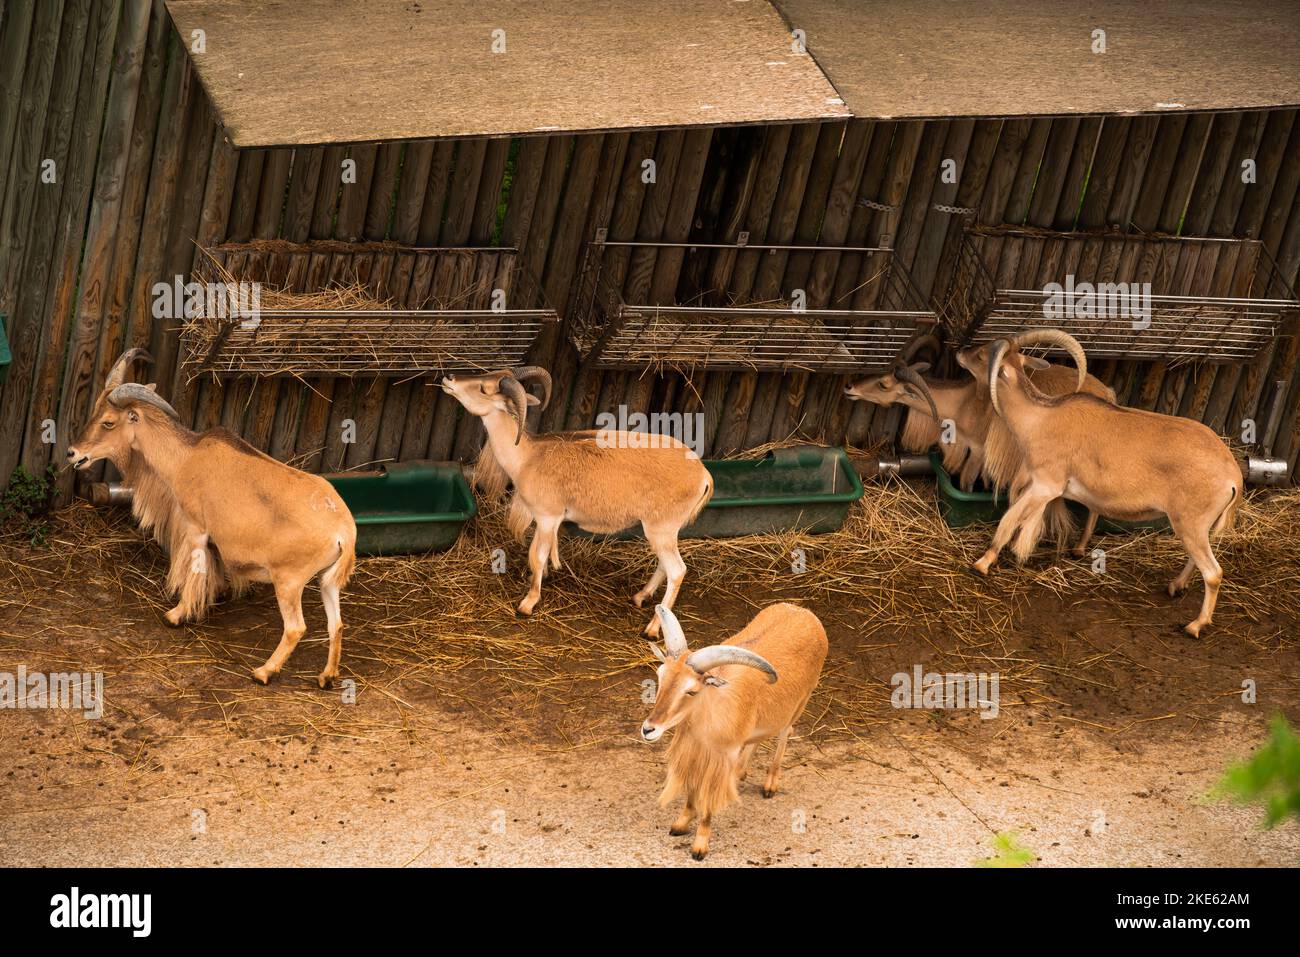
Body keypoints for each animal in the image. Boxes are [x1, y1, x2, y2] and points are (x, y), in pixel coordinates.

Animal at [67, 357, 357, 686]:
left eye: (108, 422)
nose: (73, 453)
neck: (185, 457)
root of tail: (343, 533)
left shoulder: (195, 528)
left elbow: (194, 571)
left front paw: (177, 615)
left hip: (289, 581)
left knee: (296, 627)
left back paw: (264, 672)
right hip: (327, 581)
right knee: (337, 624)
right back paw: (327, 676)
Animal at [440, 367, 713, 638]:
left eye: (484, 388)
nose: (449, 378)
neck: (529, 457)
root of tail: (703, 475)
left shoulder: (547, 517)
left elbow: (538, 555)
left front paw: (528, 603)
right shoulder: (546, 520)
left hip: (661, 529)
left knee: (677, 570)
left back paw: (653, 628)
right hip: (664, 532)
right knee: (664, 566)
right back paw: (640, 597)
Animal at [640, 603, 827, 860]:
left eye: (691, 691)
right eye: (660, 676)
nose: (649, 729)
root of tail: (804, 612)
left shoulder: (720, 759)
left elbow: (709, 800)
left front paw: (699, 847)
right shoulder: (696, 754)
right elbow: (692, 792)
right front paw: (680, 824)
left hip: (802, 700)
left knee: (785, 732)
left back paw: (770, 784)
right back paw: (740, 772)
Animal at [845, 331, 1117, 554]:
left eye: (883, 384)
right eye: (883, 371)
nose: (849, 386)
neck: (963, 403)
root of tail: (1109, 394)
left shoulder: (978, 450)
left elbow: (967, 484)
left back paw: (1080, 547)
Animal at [961, 329, 1242, 638]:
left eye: (981, 356)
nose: (960, 352)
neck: (1040, 418)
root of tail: (1233, 476)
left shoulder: (1045, 485)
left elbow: (1008, 521)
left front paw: (982, 563)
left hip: (1189, 522)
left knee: (1213, 573)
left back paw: (1195, 625)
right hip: (1198, 527)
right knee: (1197, 559)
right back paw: (1175, 586)